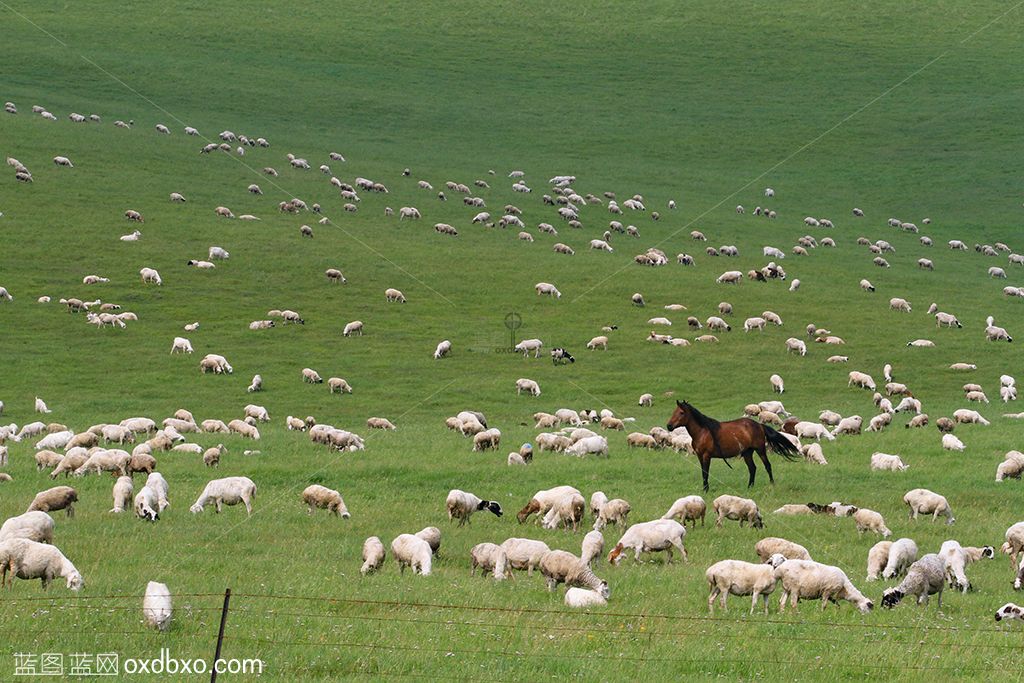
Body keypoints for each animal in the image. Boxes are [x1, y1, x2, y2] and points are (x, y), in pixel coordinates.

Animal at [663, 401, 798, 491]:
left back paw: (772, 484)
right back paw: (749, 487)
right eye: (674, 412)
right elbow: (703, 472)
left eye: (681, 412)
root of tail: (759, 425)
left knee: (767, 466)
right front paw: (704, 488)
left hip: (760, 450)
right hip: (747, 453)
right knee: (752, 468)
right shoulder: (700, 456)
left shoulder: (706, 456)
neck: (703, 432)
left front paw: (706, 489)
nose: (669, 426)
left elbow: (706, 472)